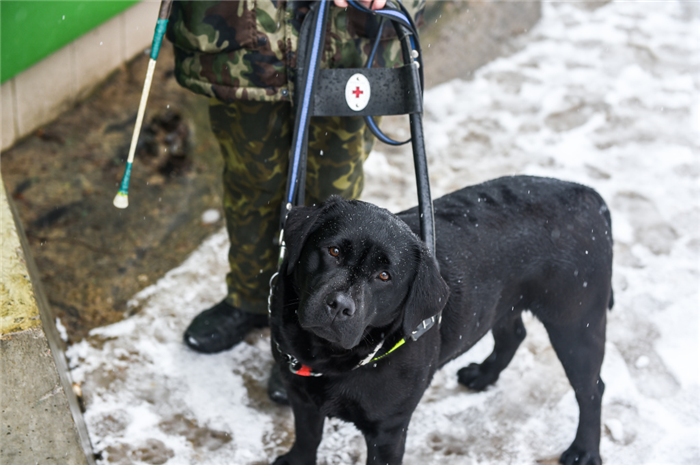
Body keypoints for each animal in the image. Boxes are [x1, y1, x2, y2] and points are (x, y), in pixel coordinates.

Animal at [268, 175, 612, 464]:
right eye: (334, 251)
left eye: (384, 276)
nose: (340, 305)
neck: (328, 358)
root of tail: (588, 194)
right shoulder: (300, 395)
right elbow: (308, 435)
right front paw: (297, 461)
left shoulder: (387, 431)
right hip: (503, 303)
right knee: (513, 334)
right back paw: (483, 375)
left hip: (576, 324)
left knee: (592, 390)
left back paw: (584, 451)